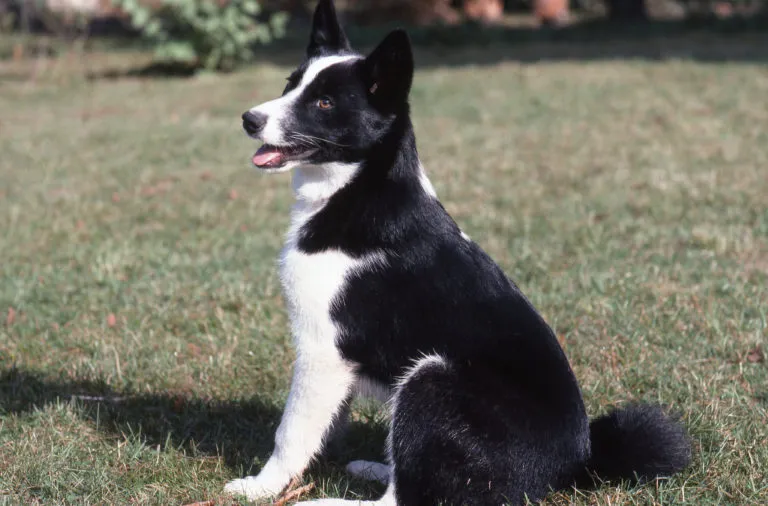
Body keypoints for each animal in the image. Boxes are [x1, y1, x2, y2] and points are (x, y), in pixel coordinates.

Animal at [225, 1, 692, 504]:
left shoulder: (322, 351)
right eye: (290, 84)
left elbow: (290, 432)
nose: (249, 119)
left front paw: (261, 486)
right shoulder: (336, 365)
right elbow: (326, 425)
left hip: (431, 377)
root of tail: (576, 466)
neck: (360, 190)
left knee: (407, 498)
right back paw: (378, 466)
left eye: (324, 103)